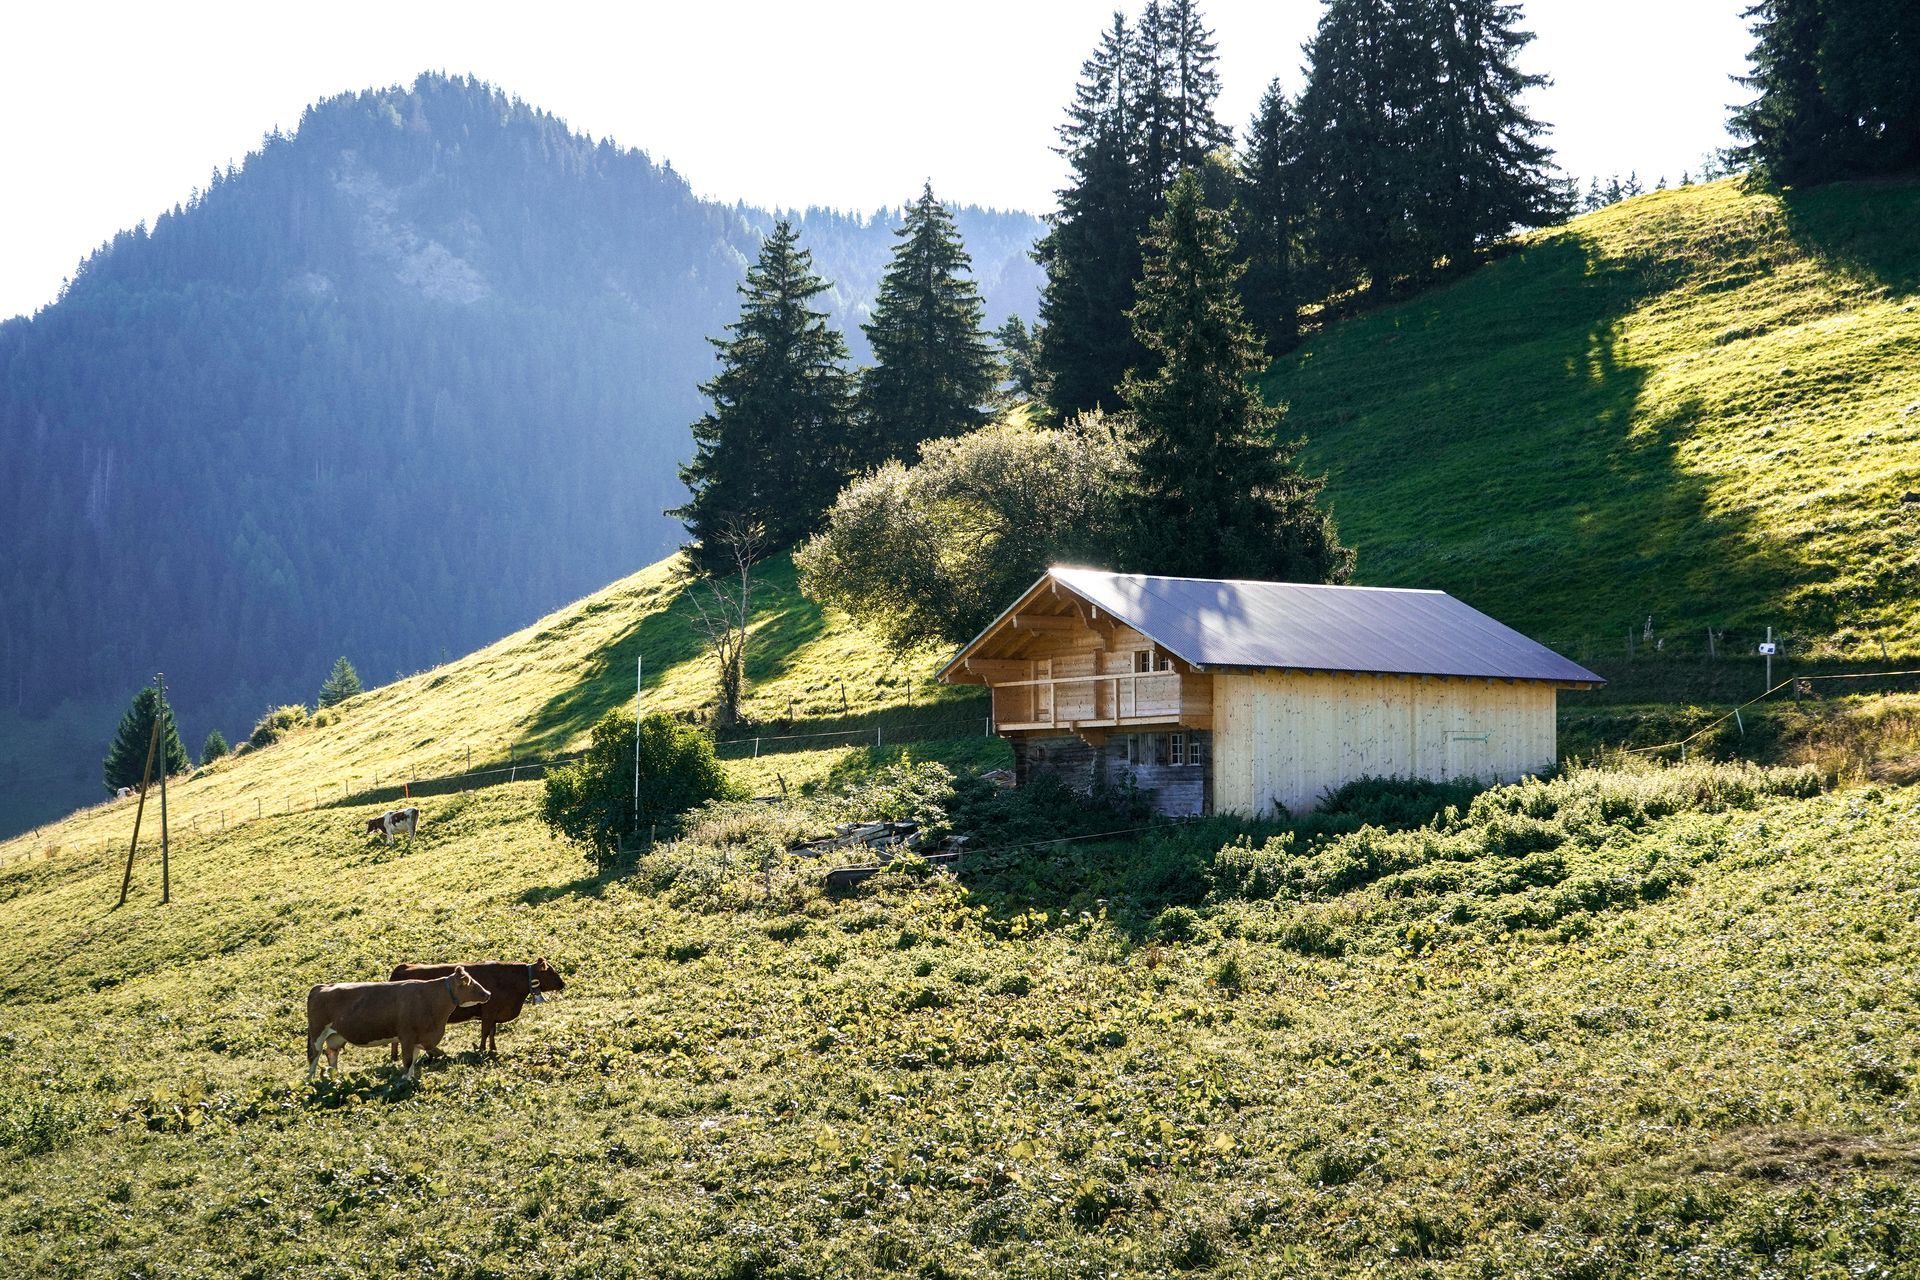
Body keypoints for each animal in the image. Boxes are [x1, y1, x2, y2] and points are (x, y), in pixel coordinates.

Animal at [305, 966, 491, 1078]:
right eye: (471, 983)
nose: (488, 993)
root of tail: (321, 986)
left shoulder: (419, 1038)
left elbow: (413, 1060)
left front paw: (410, 1079)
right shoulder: (407, 1036)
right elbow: (407, 1060)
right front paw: (403, 1080)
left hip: (336, 1035)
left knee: (331, 1054)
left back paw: (334, 1077)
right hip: (317, 1032)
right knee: (314, 1055)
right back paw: (310, 1080)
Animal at [387, 958, 565, 1054]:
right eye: (551, 972)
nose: (563, 983)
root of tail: (402, 968)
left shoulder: (494, 1014)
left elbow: (492, 1032)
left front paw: (493, 1048)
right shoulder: (489, 1012)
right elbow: (485, 1032)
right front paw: (481, 1050)